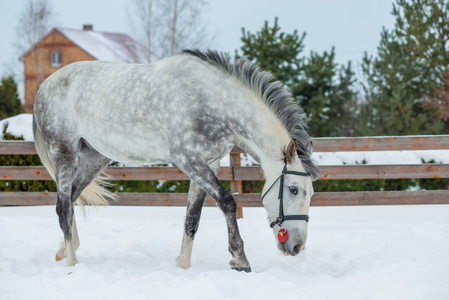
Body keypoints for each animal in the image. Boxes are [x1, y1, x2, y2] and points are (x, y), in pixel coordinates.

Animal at [32, 49, 318, 272]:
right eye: (293, 189)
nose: (297, 245)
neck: (212, 101)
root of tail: (44, 86)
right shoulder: (188, 160)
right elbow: (227, 201)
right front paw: (240, 260)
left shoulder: (209, 163)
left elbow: (193, 216)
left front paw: (183, 265)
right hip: (64, 152)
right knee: (63, 208)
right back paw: (72, 264)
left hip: (94, 159)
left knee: (70, 200)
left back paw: (64, 251)